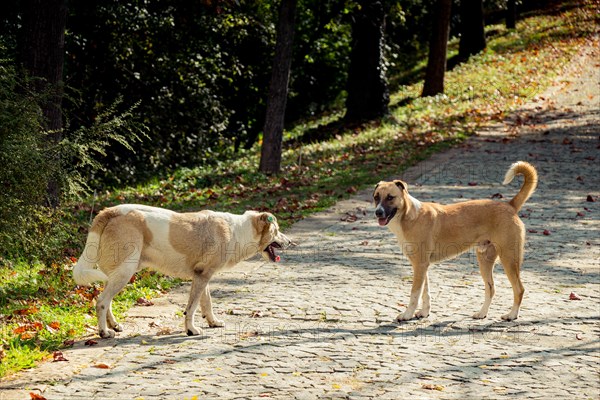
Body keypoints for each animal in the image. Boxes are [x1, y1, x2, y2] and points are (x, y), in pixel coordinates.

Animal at [376, 161, 540, 320]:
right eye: (376, 197)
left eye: (390, 197)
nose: (378, 212)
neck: (409, 215)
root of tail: (510, 205)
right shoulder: (422, 266)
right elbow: (425, 293)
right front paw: (424, 313)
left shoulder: (420, 265)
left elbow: (414, 294)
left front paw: (407, 315)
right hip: (485, 260)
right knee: (491, 289)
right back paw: (482, 313)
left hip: (509, 259)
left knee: (519, 289)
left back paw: (512, 315)